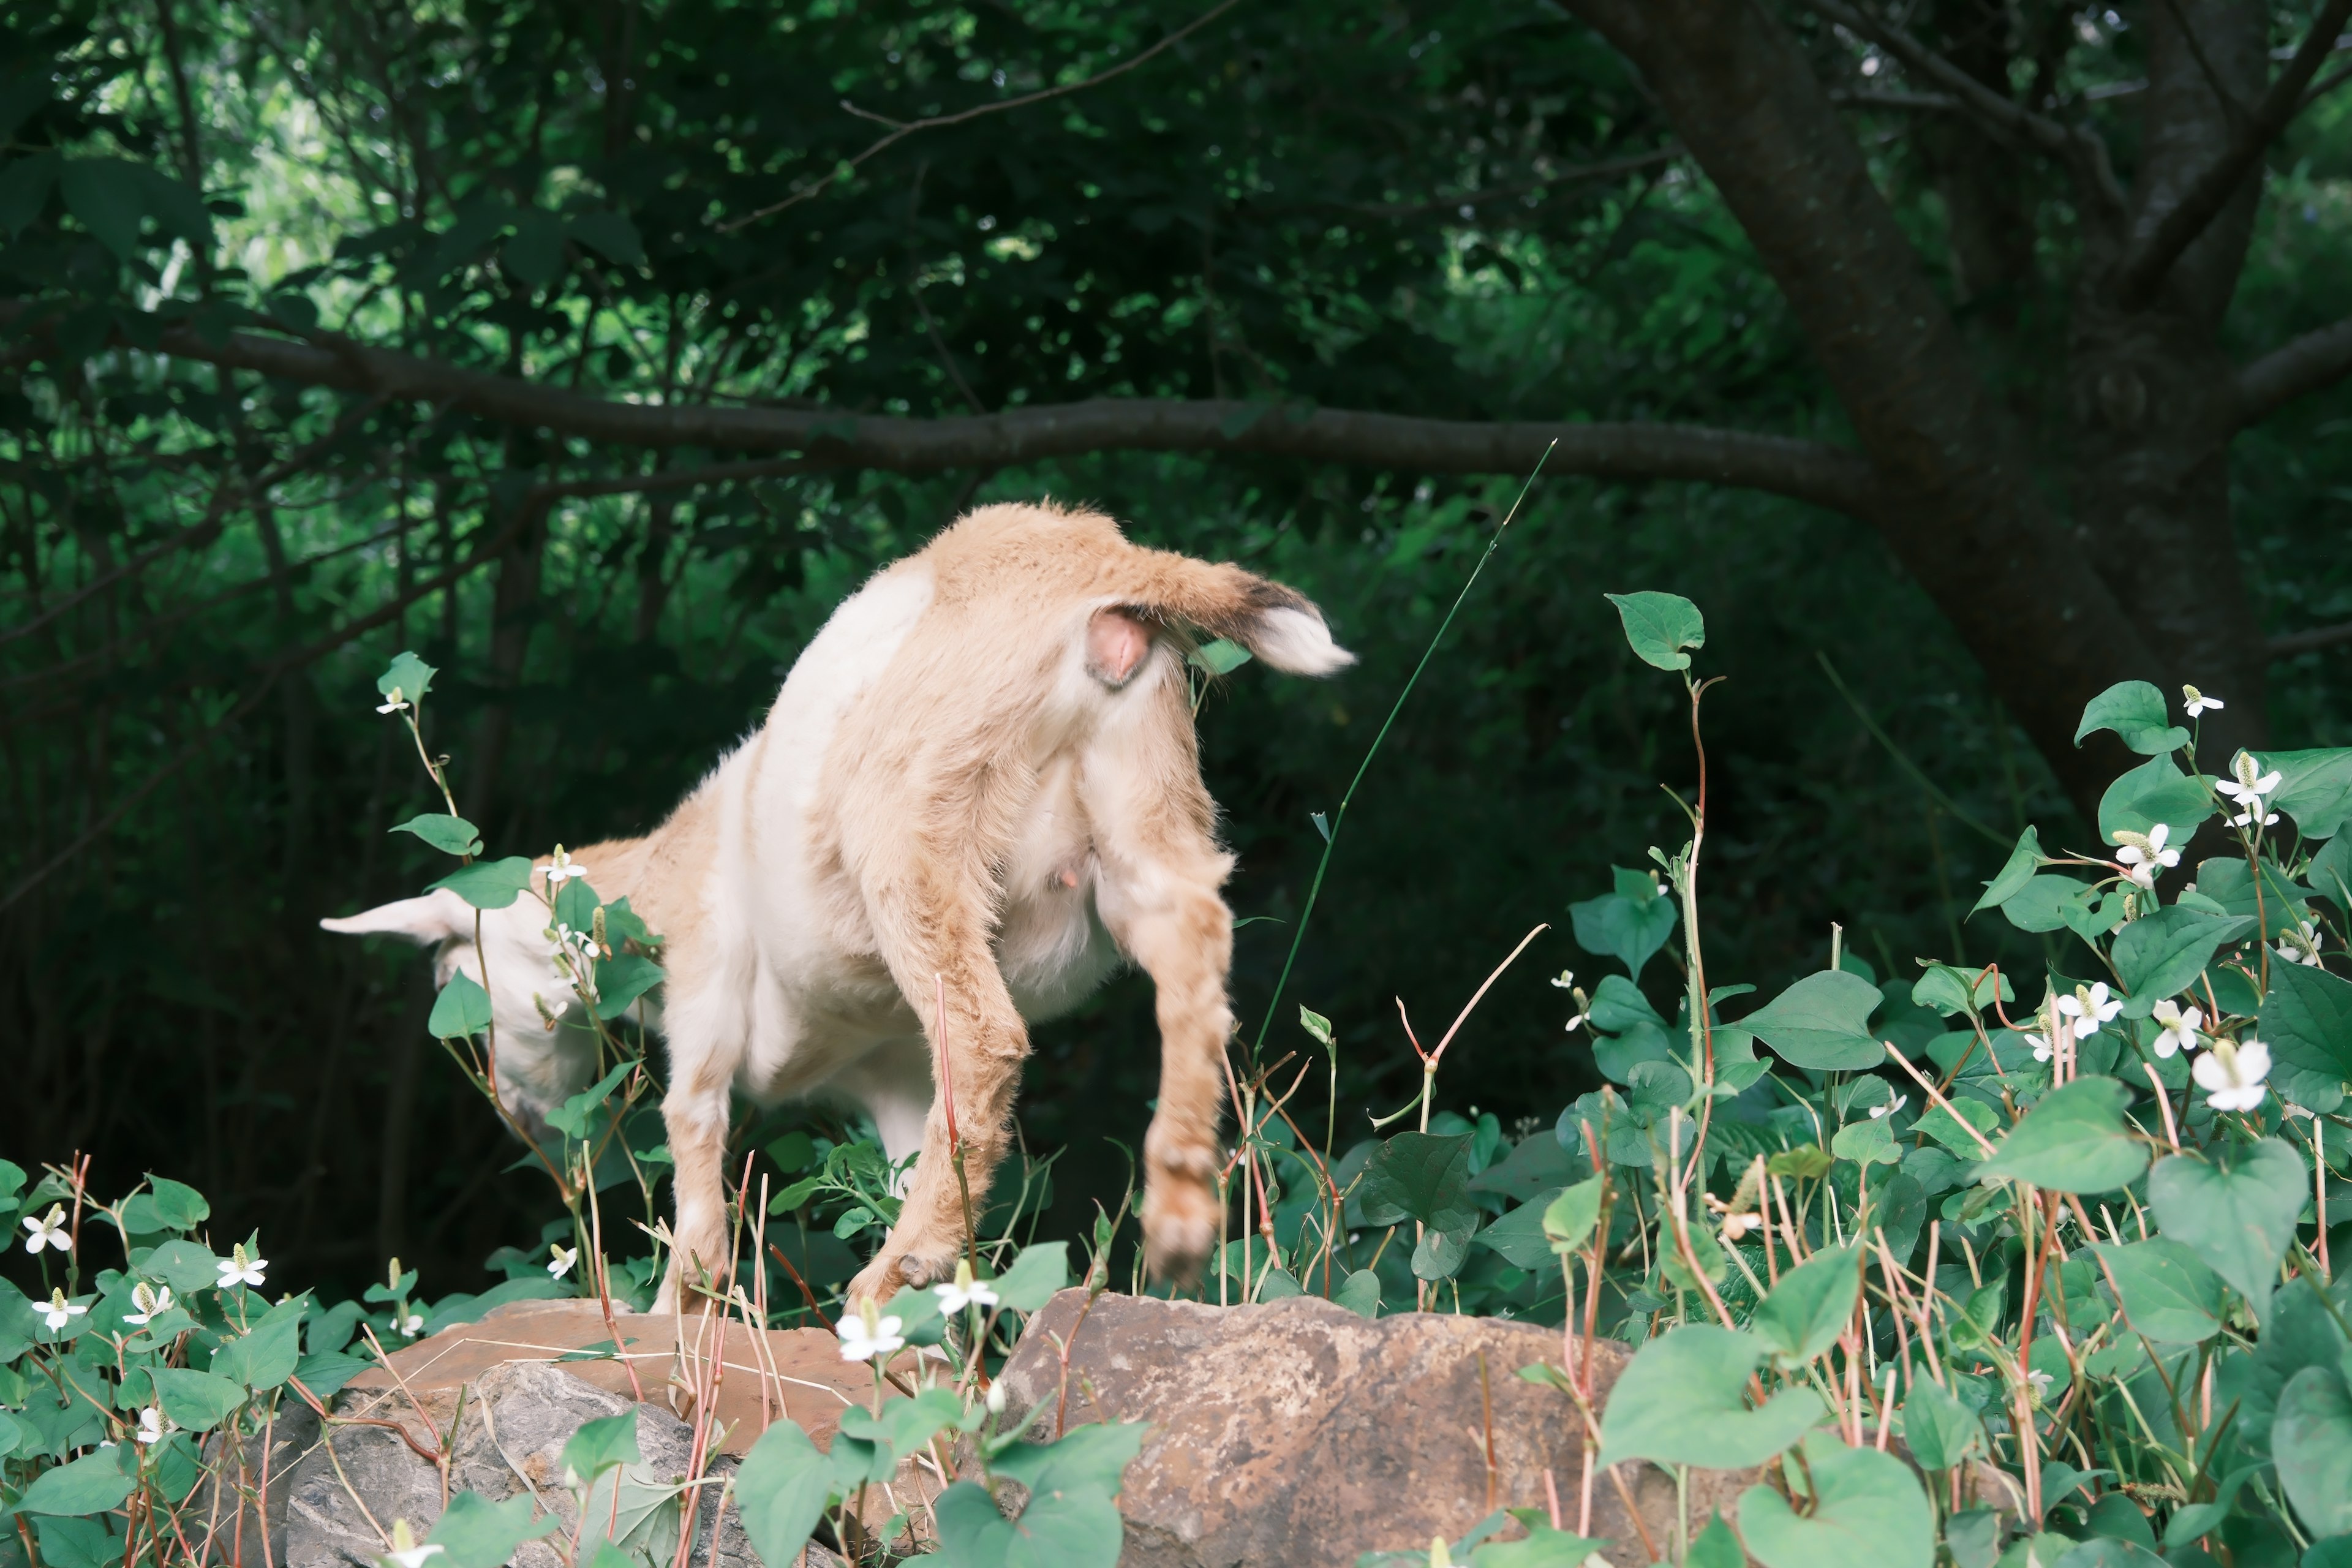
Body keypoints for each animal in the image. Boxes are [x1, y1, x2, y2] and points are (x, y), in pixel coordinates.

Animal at [334, 500, 1364, 1297]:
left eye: (450, 979)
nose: (520, 1118)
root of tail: (1101, 564)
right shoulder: (894, 1069)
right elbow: (915, 1144)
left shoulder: (707, 981)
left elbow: (692, 1133)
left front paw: (678, 1308)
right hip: (1142, 801)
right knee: (1192, 951)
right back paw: (1175, 1216)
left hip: (911, 822)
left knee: (988, 1037)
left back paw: (888, 1279)